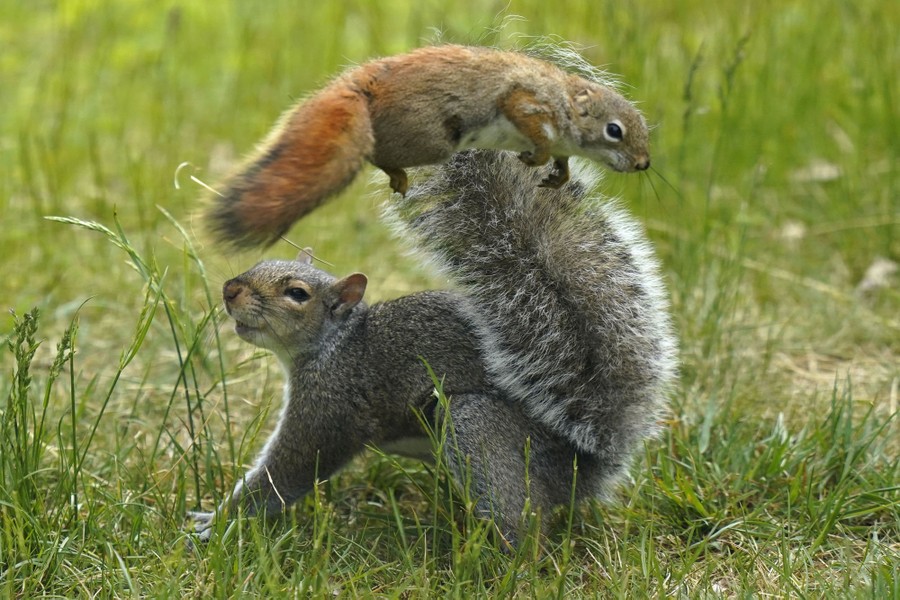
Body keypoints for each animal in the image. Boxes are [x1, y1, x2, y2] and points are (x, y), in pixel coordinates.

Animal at [189, 150, 677, 546]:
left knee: (524, 526)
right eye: (260, 262)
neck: (336, 343)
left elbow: (290, 469)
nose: (230, 290)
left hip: (477, 427)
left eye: (296, 293)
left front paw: (218, 524)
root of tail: (585, 466)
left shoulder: (331, 402)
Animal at [205, 44, 651, 248]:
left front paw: (558, 176)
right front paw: (536, 156)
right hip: (429, 137)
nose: (644, 164)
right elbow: (534, 131)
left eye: (644, 129)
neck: (565, 100)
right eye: (614, 130)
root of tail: (365, 81)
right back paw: (397, 173)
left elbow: (561, 160)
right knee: (379, 153)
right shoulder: (525, 101)